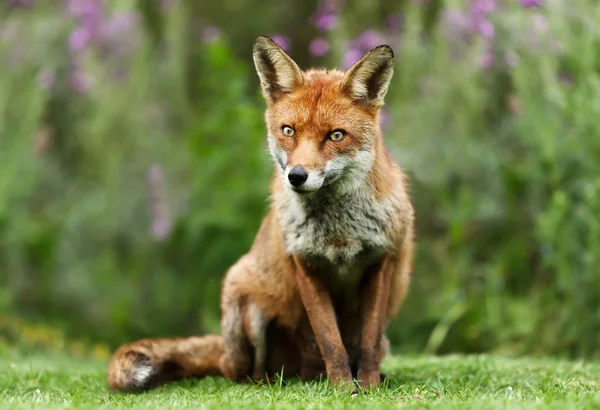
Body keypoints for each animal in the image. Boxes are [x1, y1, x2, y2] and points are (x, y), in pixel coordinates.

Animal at [106, 36, 412, 394]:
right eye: (288, 130)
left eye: (336, 135)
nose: (296, 176)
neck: (339, 233)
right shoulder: (304, 264)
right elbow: (329, 340)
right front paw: (342, 389)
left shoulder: (381, 261)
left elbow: (368, 342)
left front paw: (368, 386)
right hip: (248, 306)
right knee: (243, 372)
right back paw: (279, 382)